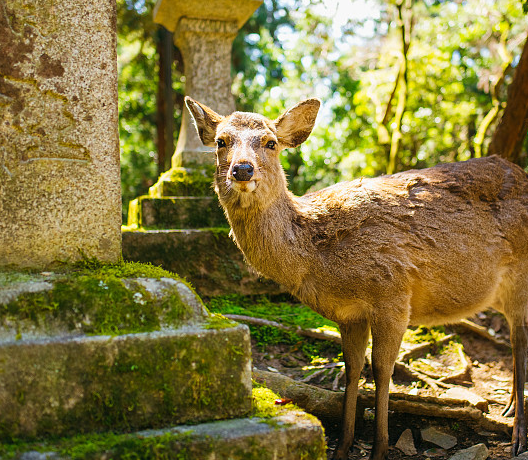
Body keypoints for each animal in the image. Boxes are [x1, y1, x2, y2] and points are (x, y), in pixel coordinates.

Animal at [185, 95, 528, 458]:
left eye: (271, 142)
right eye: (221, 141)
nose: (242, 169)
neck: (318, 258)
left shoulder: (393, 295)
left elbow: (381, 370)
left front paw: (379, 447)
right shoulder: (348, 314)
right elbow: (351, 369)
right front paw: (343, 445)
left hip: (519, 273)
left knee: (519, 339)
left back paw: (518, 433)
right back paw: (507, 406)